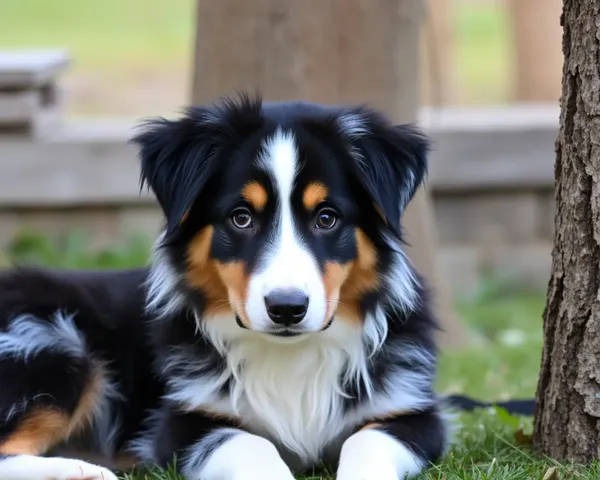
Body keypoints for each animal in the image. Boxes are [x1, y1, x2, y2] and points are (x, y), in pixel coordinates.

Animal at [0, 95, 450, 478]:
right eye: (241, 217)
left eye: (327, 217)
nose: (287, 308)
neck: (289, 355)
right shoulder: (185, 420)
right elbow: (251, 445)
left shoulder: (412, 412)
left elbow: (367, 441)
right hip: (52, 344)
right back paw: (81, 470)